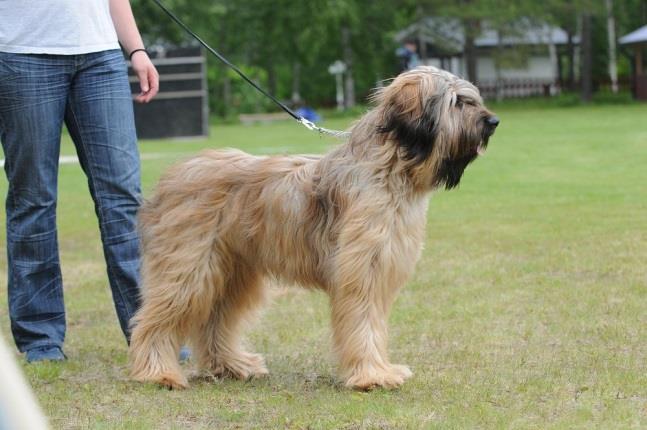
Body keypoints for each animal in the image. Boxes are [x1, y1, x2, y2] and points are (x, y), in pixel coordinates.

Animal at [128, 66, 502, 390]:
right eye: (457, 102)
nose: (493, 122)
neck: (389, 169)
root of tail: (169, 178)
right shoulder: (362, 270)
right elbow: (364, 322)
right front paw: (372, 375)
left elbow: (374, 324)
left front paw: (380, 369)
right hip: (189, 266)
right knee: (156, 319)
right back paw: (158, 372)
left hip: (233, 271)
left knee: (215, 320)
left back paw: (232, 366)